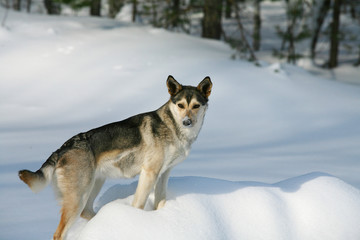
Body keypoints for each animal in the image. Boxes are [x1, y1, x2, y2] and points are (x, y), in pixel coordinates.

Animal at [18, 75, 212, 240]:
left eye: (196, 106)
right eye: (180, 105)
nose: (187, 122)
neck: (172, 127)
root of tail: (63, 148)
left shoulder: (164, 173)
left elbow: (160, 202)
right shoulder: (149, 173)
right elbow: (138, 205)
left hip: (94, 185)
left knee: (87, 212)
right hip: (78, 197)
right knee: (59, 233)